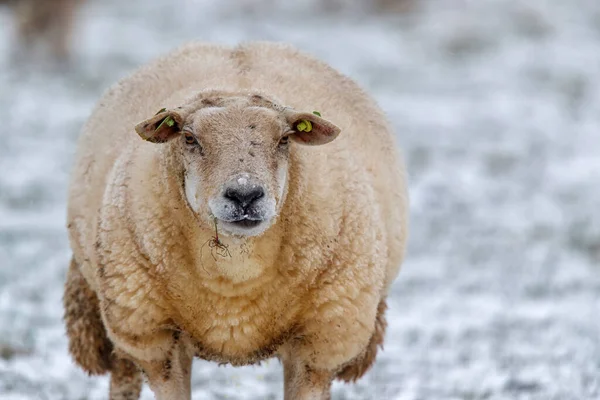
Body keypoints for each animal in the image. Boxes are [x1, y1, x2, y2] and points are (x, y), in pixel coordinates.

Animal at [65, 41, 410, 400]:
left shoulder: (321, 343)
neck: (235, 275)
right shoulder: (156, 341)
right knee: (123, 377)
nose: (245, 195)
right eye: (189, 138)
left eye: (284, 139)